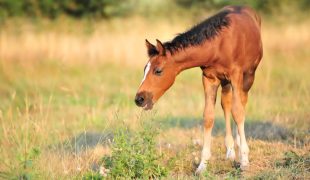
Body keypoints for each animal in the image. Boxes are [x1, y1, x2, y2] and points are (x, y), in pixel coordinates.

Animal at [134, 5, 262, 173]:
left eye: (158, 71)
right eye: (144, 69)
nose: (139, 99)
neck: (219, 45)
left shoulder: (236, 76)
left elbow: (239, 112)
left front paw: (245, 160)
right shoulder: (209, 78)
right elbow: (208, 116)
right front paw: (202, 165)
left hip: (248, 77)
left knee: (241, 103)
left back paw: (240, 148)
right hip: (225, 82)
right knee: (226, 104)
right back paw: (230, 151)